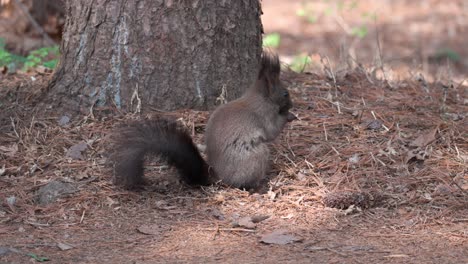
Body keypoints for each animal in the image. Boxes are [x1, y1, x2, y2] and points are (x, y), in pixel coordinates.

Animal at [109, 51, 294, 191]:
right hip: (257, 155)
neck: (261, 97)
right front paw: (289, 116)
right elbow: (272, 130)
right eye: (285, 93)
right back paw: (259, 185)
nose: (292, 104)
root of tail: (219, 177)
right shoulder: (264, 115)